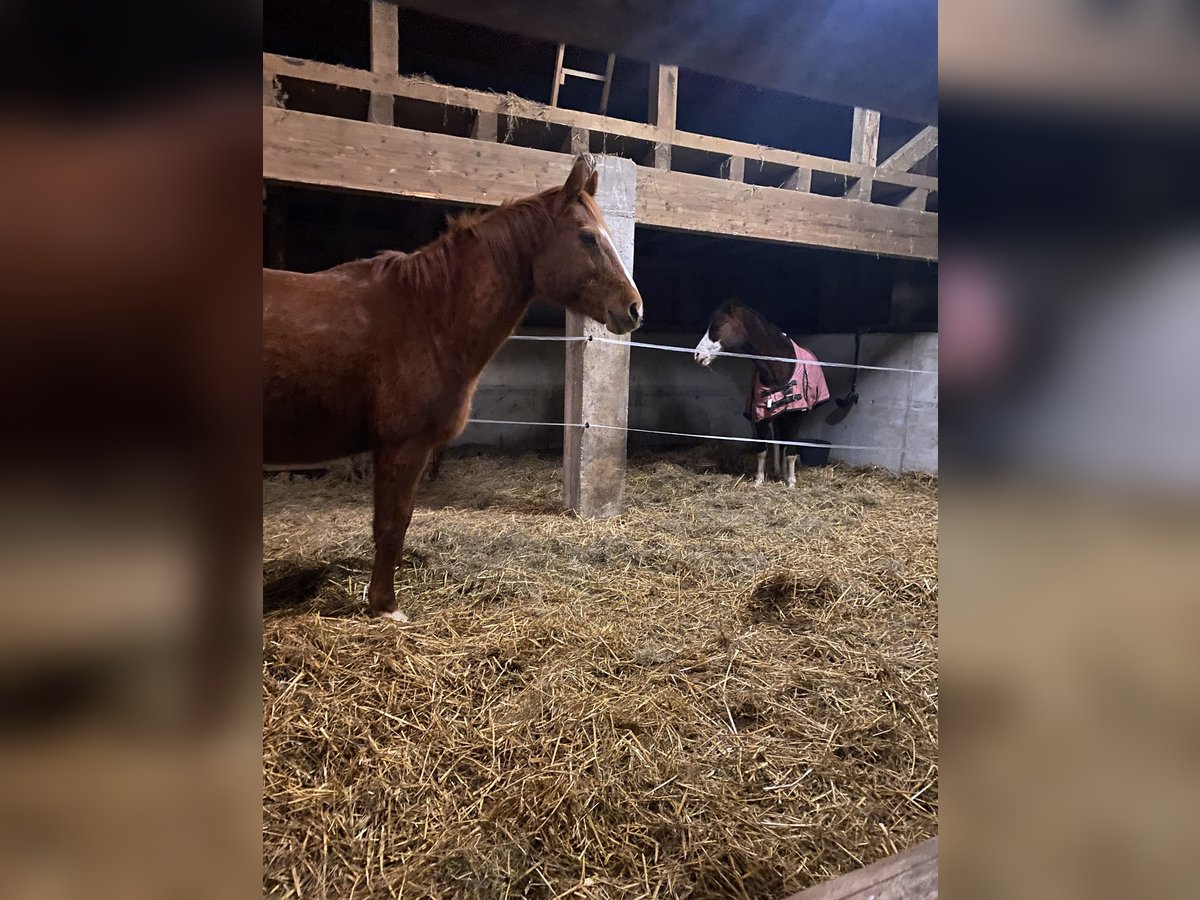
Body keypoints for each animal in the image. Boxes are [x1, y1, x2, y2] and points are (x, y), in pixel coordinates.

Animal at [262, 158, 638, 619]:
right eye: (587, 236)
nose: (634, 309)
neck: (428, 314)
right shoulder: (403, 447)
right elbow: (392, 524)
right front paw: (385, 606)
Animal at [691, 301, 830, 487]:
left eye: (718, 325)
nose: (697, 355)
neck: (780, 366)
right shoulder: (761, 415)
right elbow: (762, 450)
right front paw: (759, 479)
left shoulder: (796, 416)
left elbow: (791, 451)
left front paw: (791, 482)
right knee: (778, 441)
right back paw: (778, 469)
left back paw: (784, 472)